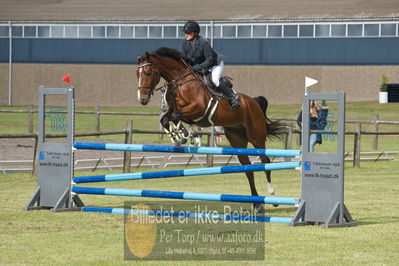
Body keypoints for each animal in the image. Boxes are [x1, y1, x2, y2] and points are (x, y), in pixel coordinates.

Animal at [137, 46, 288, 212]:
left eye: (148, 72)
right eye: (137, 73)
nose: (142, 99)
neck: (180, 82)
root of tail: (253, 102)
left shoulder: (198, 109)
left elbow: (177, 116)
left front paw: (185, 134)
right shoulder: (174, 111)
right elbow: (166, 119)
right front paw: (178, 137)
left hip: (256, 137)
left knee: (265, 162)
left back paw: (272, 197)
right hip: (237, 141)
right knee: (248, 170)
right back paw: (257, 204)